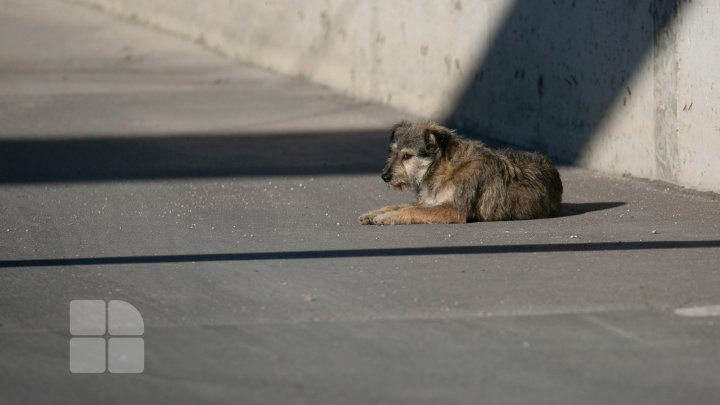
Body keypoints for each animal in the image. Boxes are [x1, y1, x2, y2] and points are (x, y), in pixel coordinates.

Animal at [358, 120, 564, 224]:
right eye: (392, 152)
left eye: (407, 156)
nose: (385, 177)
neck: (443, 169)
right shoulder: (428, 201)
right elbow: (399, 206)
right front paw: (375, 213)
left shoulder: (452, 209)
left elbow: (411, 210)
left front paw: (385, 218)